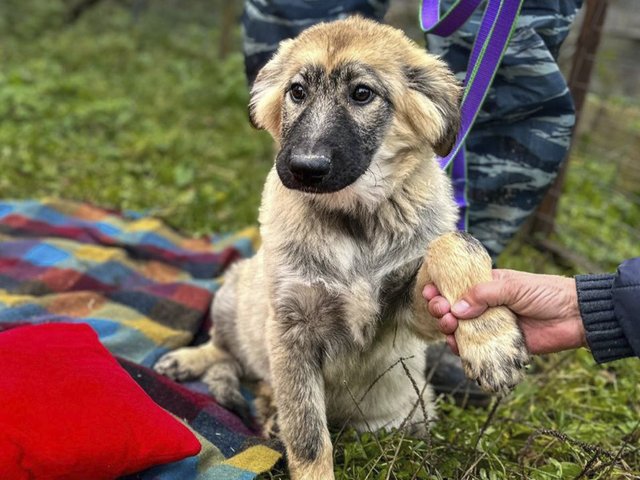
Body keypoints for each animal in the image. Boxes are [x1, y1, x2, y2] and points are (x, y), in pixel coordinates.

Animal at [155, 16, 528, 478]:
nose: (305, 168)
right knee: (228, 351)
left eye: (362, 94)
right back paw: (193, 363)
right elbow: (309, 436)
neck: (353, 222)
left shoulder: (410, 313)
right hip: (234, 292)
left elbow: (457, 242)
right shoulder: (291, 331)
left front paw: (492, 343)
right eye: (297, 91)